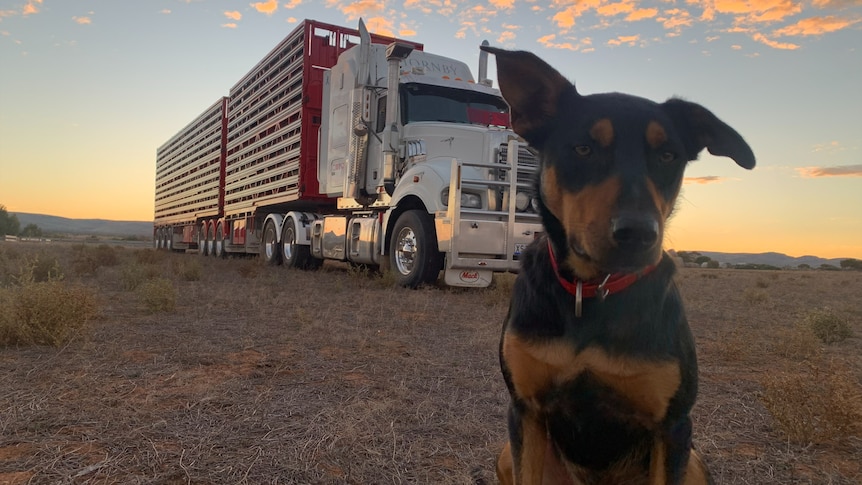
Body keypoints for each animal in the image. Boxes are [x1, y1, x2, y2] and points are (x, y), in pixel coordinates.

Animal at [482, 46, 760, 484]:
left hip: (695, 463)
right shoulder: (525, 411)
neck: (593, 289)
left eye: (668, 155)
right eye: (583, 148)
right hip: (506, 454)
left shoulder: (673, 426)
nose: (638, 233)